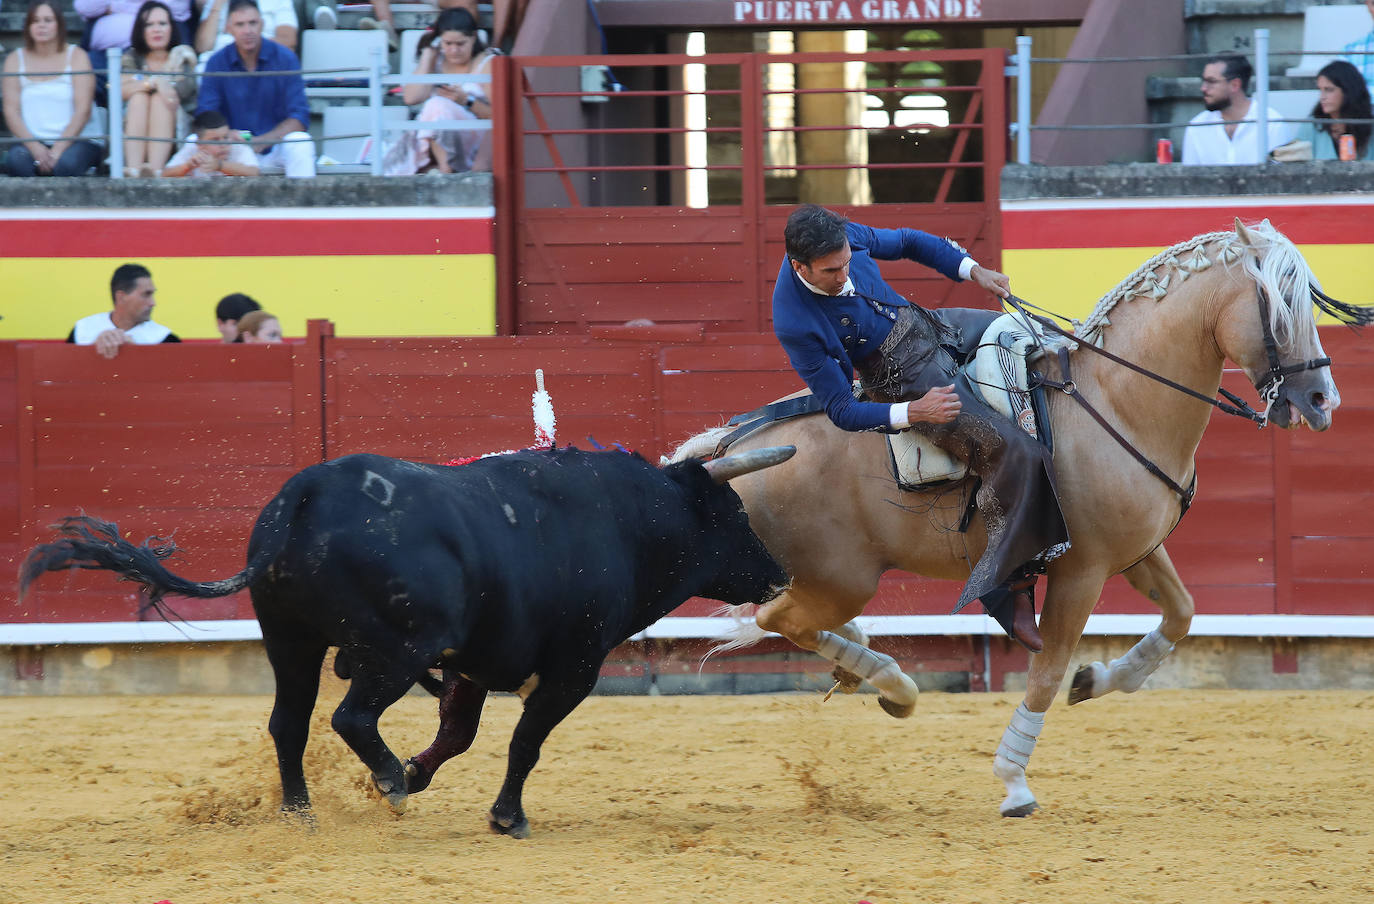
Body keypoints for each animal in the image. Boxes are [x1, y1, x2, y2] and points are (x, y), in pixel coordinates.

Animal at [21, 447, 796, 835]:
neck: (623, 519)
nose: (780, 572)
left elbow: (459, 733)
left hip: (291, 641)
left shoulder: (477, 661)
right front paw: (504, 816)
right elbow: (525, 742)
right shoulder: (573, 667)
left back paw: (301, 812)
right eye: (734, 515)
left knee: (289, 722)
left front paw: (425, 774)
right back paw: (387, 783)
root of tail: (300, 499)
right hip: (396, 651)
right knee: (349, 716)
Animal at [673, 219, 1363, 818]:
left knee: (788, 616)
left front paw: (1097, 678)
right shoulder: (1081, 571)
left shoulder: (1134, 552)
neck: (1117, 399)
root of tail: (728, 451)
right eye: (1281, 308)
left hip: (823, 579)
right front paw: (1014, 782)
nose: (1323, 401)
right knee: (779, 619)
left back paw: (870, 672)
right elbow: (1046, 668)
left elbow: (1181, 614)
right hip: (844, 578)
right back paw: (889, 680)